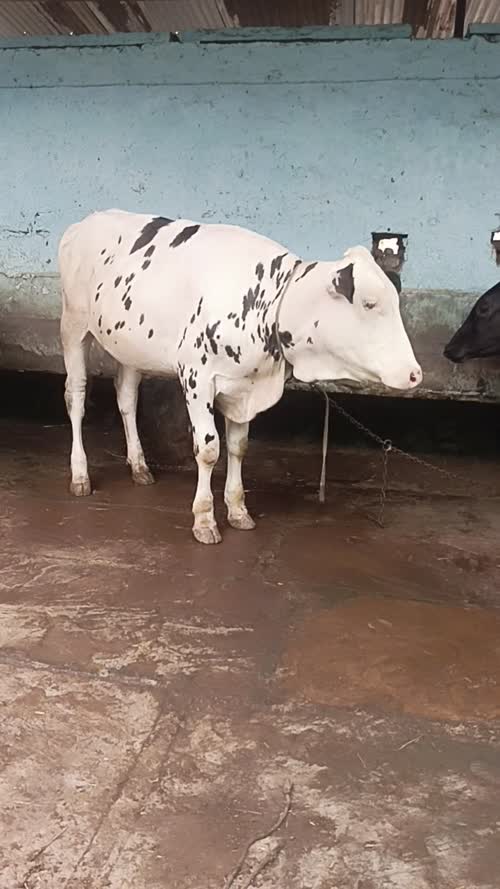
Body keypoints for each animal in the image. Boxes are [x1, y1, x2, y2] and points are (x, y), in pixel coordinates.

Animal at [59, 209, 422, 544]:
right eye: (369, 303)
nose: (414, 374)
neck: (270, 303)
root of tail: (85, 222)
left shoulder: (245, 387)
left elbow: (238, 446)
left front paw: (237, 510)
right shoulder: (196, 378)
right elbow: (208, 449)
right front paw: (204, 519)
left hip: (129, 346)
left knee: (126, 397)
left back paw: (139, 466)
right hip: (74, 326)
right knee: (76, 397)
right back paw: (80, 475)